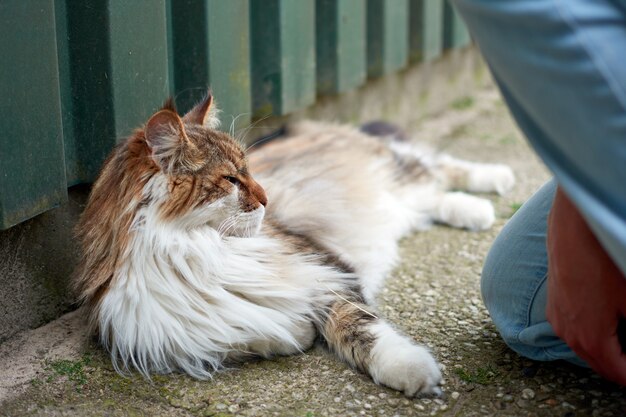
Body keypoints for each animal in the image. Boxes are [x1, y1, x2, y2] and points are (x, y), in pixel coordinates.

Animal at [73, 92, 512, 396]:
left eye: (249, 169)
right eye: (231, 179)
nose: (267, 198)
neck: (200, 251)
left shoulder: (328, 273)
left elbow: (364, 331)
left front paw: (412, 370)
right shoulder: (186, 337)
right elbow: (259, 330)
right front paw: (297, 333)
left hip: (398, 169)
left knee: (442, 167)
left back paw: (496, 183)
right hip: (403, 199)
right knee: (431, 198)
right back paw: (472, 210)